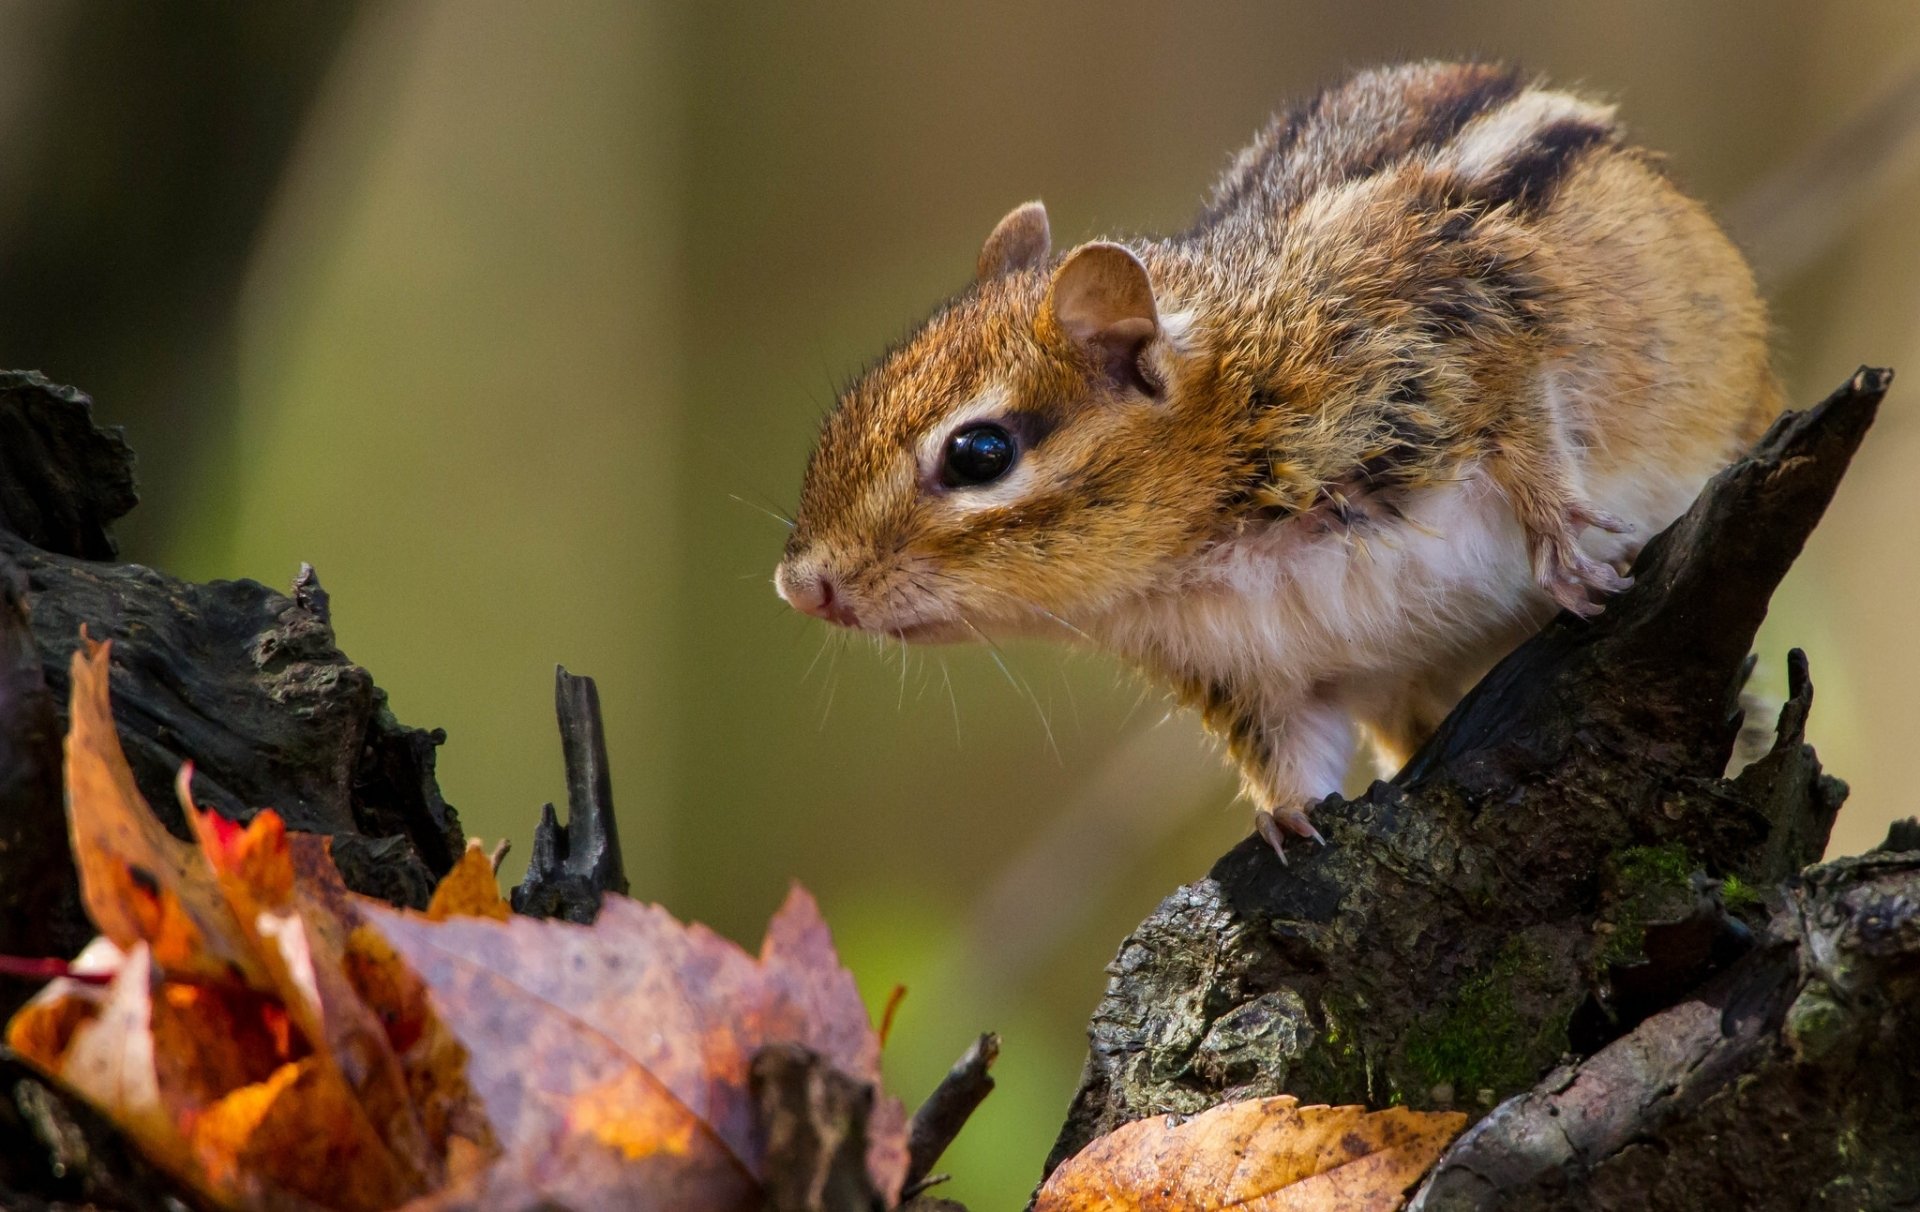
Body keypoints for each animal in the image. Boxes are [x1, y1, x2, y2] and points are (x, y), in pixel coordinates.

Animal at [773, 61, 1779, 859]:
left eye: (980, 453)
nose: (802, 587)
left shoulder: (1467, 336)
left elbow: (1528, 422)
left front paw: (1566, 552)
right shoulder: (1259, 675)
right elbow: (1292, 753)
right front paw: (1287, 818)